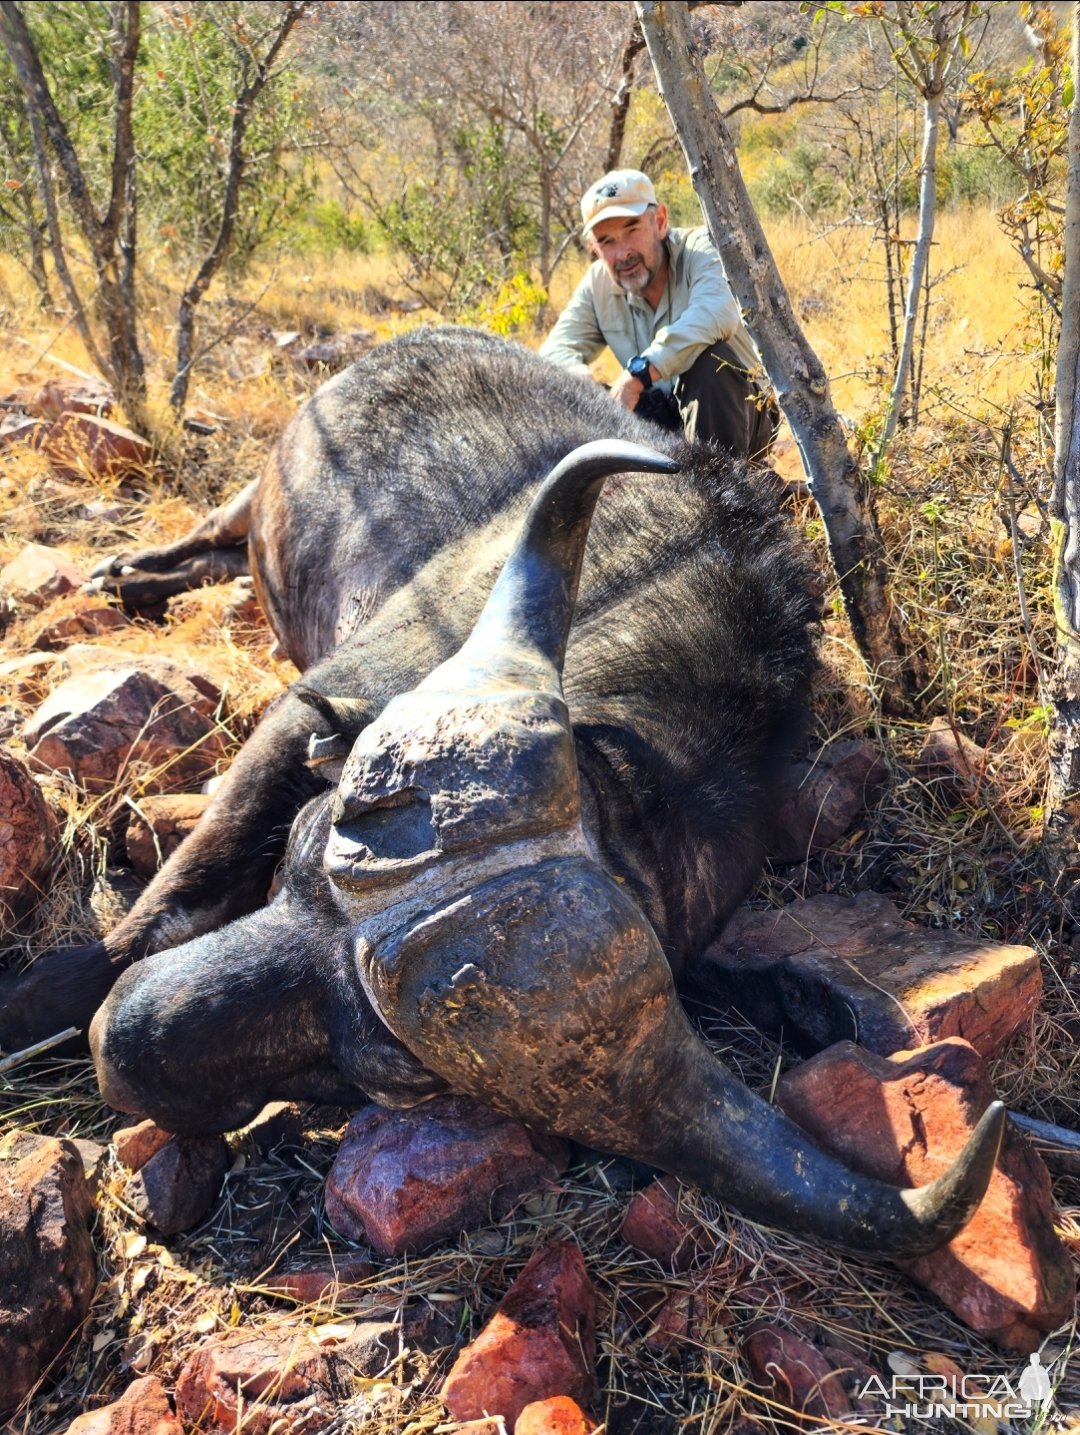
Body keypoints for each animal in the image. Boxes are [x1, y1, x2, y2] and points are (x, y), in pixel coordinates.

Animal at [0, 325, 1003, 1257]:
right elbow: (167, 902)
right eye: (299, 852)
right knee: (211, 536)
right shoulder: (304, 715)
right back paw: (127, 571)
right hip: (248, 494)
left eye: (376, 1071)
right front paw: (35, 1006)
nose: (117, 1042)